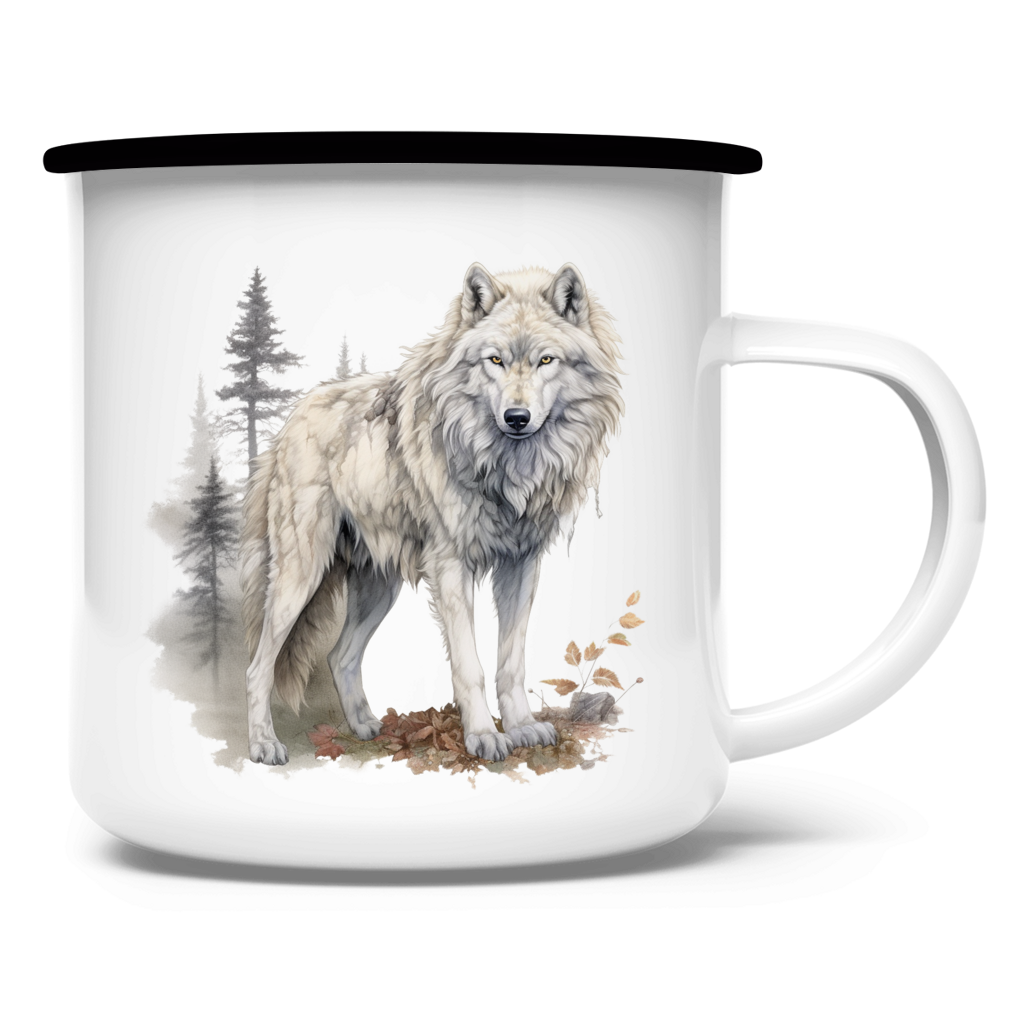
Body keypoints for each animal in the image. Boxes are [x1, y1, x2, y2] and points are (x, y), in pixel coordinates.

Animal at [241, 261, 627, 765]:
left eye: (546, 360)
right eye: (495, 360)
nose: (517, 417)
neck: (506, 469)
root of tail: (292, 419)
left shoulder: (521, 567)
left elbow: (510, 663)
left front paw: (523, 728)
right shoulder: (451, 569)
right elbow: (470, 666)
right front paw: (484, 736)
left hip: (379, 588)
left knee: (339, 655)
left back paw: (365, 728)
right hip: (300, 577)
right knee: (257, 666)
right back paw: (264, 744)